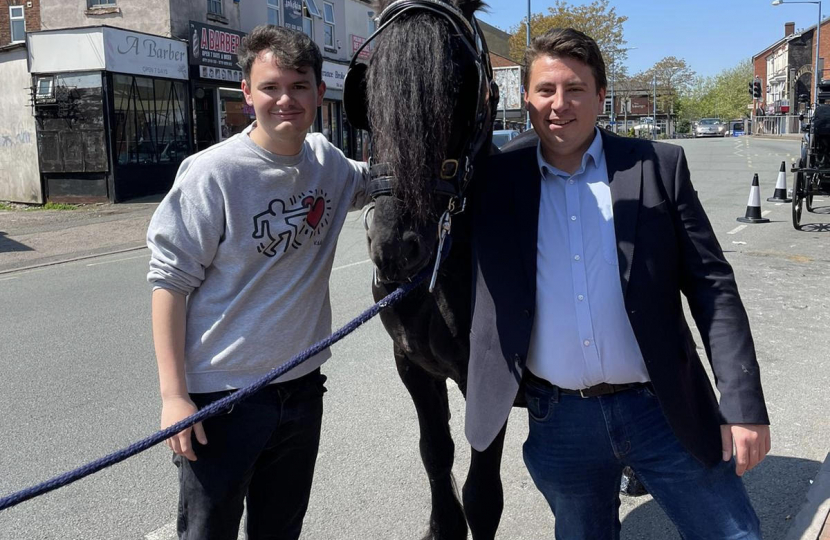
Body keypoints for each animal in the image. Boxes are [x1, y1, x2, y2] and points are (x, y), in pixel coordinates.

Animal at [344, 1, 508, 540]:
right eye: (369, 83)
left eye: (460, 84)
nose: (395, 246)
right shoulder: (412, 364)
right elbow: (436, 453)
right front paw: (443, 524)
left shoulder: (488, 378)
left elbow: (483, 494)